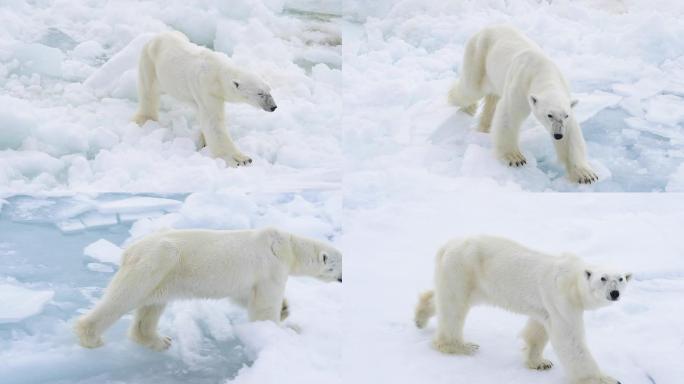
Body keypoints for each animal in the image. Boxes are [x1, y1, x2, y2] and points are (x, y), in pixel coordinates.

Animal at [75, 228, 342, 352]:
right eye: (337, 266)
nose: (342, 279)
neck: (287, 246)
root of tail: (129, 251)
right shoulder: (271, 266)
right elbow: (264, 304)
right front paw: (282, 328)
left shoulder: (251, 279)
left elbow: (246, 295)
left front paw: (285, 309)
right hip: (157, 262)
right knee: (123, 297)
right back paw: (91, 337)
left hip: (163, 279)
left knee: (151, 307)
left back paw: (160, 340)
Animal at [132, 31, 276, 166]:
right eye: (260, 93)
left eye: (269, 90)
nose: (273, 107)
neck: (216, 73)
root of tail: (157, 36)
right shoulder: (206, 89)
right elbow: (214, 123)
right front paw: (241, 159)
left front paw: (203, 141)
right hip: (149, 62)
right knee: (148, 91)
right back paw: (144, 119)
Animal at [412, 236, 632, 382]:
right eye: (603, 278)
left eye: (621, 278)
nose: (614, 293)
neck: (572, 281)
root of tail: (447, 245)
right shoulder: (561, 299)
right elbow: (570, 340)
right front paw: (605, 379)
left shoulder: (547, 305)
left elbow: (539, 328)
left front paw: (540, 362)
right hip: (462, 269)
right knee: (454, 306)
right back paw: (461, 346)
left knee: (445, 299)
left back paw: (420, 317)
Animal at [448, 25, 600, 184]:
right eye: (549, 115)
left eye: (566, 116)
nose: (558, 135)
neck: (543, 71)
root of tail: (486, 28)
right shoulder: (521, 84)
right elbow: (509, 114)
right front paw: (515, 158)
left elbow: (571, 134)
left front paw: (586, 174)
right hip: (478, 56)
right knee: (470, 89)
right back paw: (466, 107)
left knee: (492, 98)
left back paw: (484, 127)